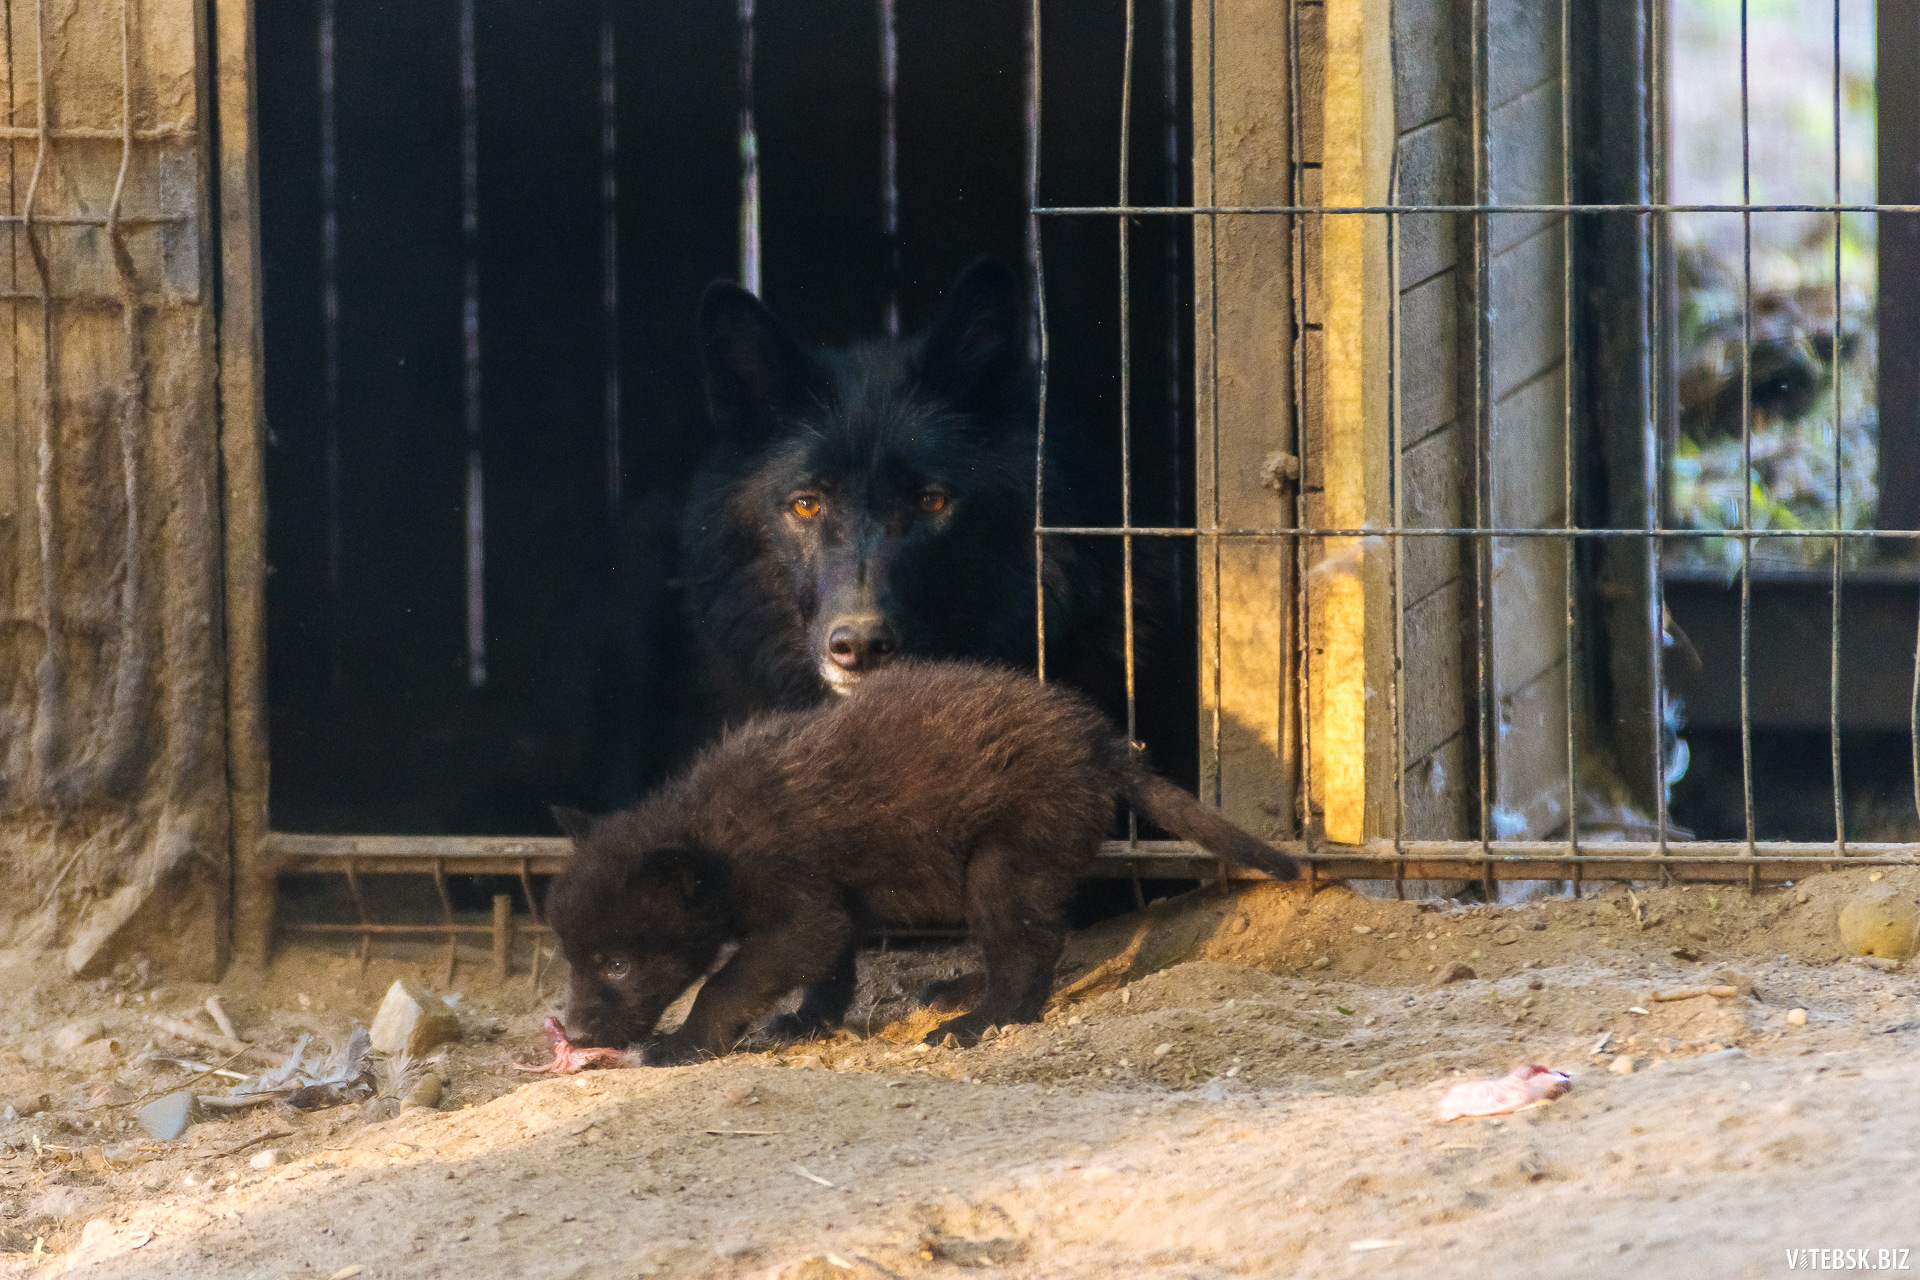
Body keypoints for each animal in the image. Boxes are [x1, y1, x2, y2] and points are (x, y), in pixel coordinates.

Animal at [541, 660, 1297, 1059]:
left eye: (617, 964)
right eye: (572, 959)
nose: (574, 1033)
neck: (711, 838)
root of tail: (1098, 739)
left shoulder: (798, 914)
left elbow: (726, 983)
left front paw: (681, 1045)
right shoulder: (831, 909)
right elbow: (830, 974)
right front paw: (805, 1023)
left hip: (1001, 862)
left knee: (1028, 954)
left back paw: (977, 1022)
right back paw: (959, 993)